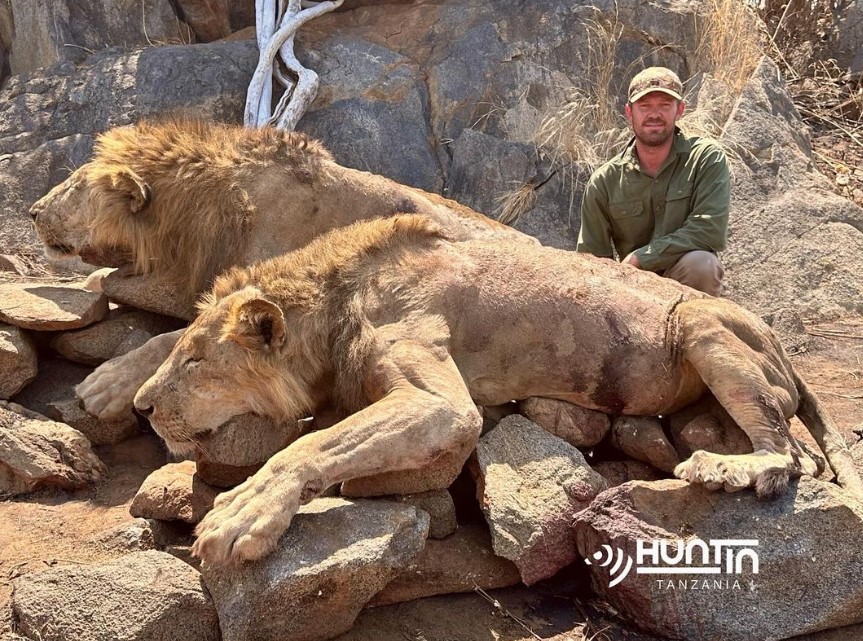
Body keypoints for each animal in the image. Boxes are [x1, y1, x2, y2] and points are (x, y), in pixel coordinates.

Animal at [132, 215, 863, 565]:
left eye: (193, 358)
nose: (141, 408)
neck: (336, 300)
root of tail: (781, 345)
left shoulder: (441, 400)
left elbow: (309, 446)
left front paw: (240, 514)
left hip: (700, 324)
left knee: (787, 455)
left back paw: (719, 470)